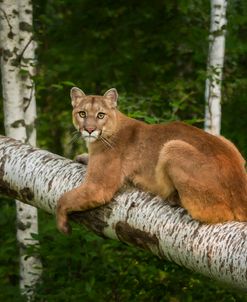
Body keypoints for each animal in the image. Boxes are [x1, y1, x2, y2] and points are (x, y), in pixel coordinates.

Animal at [57, 87, 247, 234]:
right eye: (82, 113)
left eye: (100, 115)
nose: (89, 129)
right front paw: (82, 156)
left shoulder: (98, 187)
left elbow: (64, 199)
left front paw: (62, 225)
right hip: (225, 140)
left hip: (172, 146)